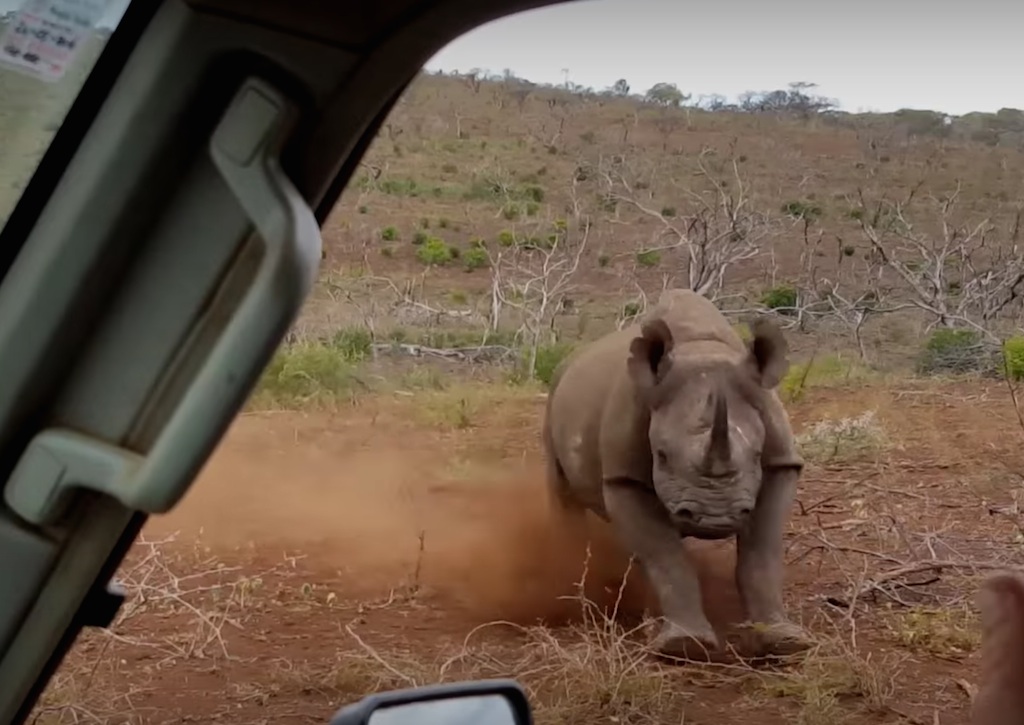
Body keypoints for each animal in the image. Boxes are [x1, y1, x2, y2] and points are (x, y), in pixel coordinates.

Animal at [542, 288, 812, 659]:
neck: (700, 350)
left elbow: (762, 553)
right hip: (553, 396)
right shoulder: (625, 478)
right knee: (565, 496)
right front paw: (685, 647)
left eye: (757, 455)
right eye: (662, 456)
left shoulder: (781, 463)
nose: (716, 518)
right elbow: (666, 557)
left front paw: (784, 641)